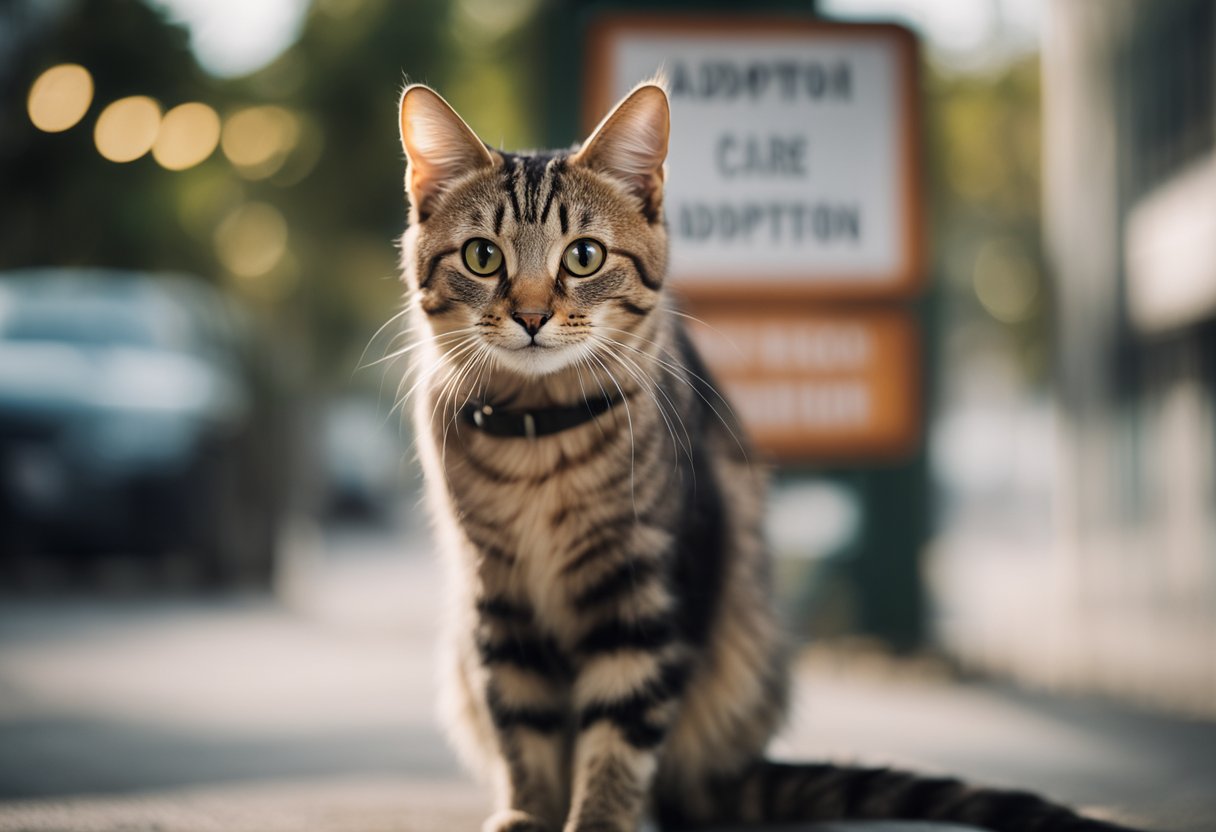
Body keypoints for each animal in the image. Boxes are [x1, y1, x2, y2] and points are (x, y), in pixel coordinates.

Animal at [393, 81, 1143, 832]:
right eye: (483, 257)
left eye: (582, 256)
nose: (530, 316)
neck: (538, 439)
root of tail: (732, 772)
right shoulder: (497, 598)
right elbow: (524, 733)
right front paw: (527, 814)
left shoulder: (648, 590)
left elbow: (619, 734)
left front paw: (599, 819)